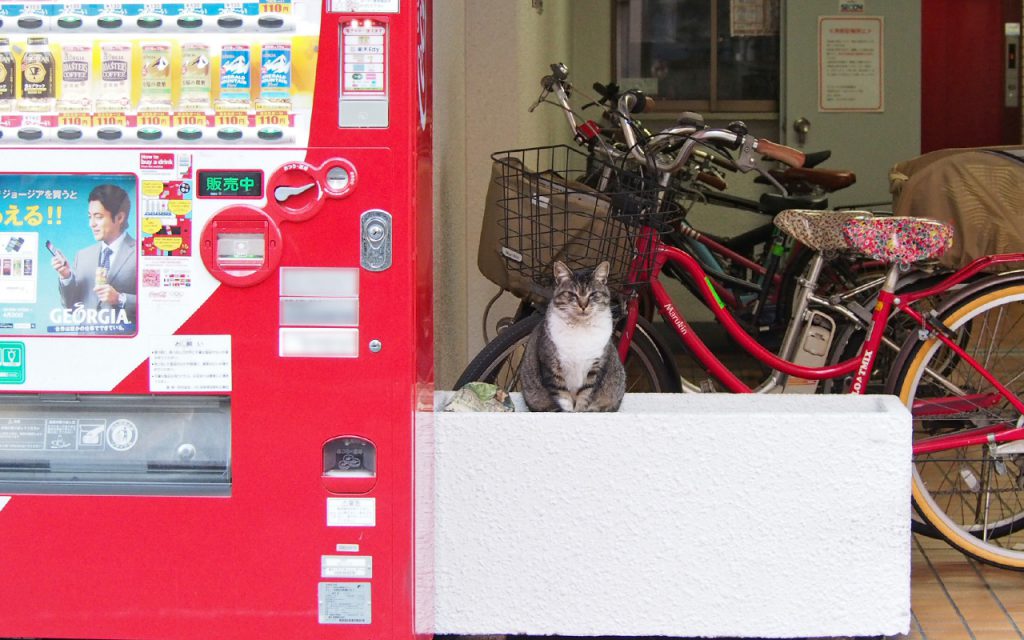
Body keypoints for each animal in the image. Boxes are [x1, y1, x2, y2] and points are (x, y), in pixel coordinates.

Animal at [520, 262, 622, 411]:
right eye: (572, 294)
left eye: (593, 294)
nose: (583, 305)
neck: (580, 328)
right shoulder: (552, 366)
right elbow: (564, 399)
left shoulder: (596, 368)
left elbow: (585, 395)